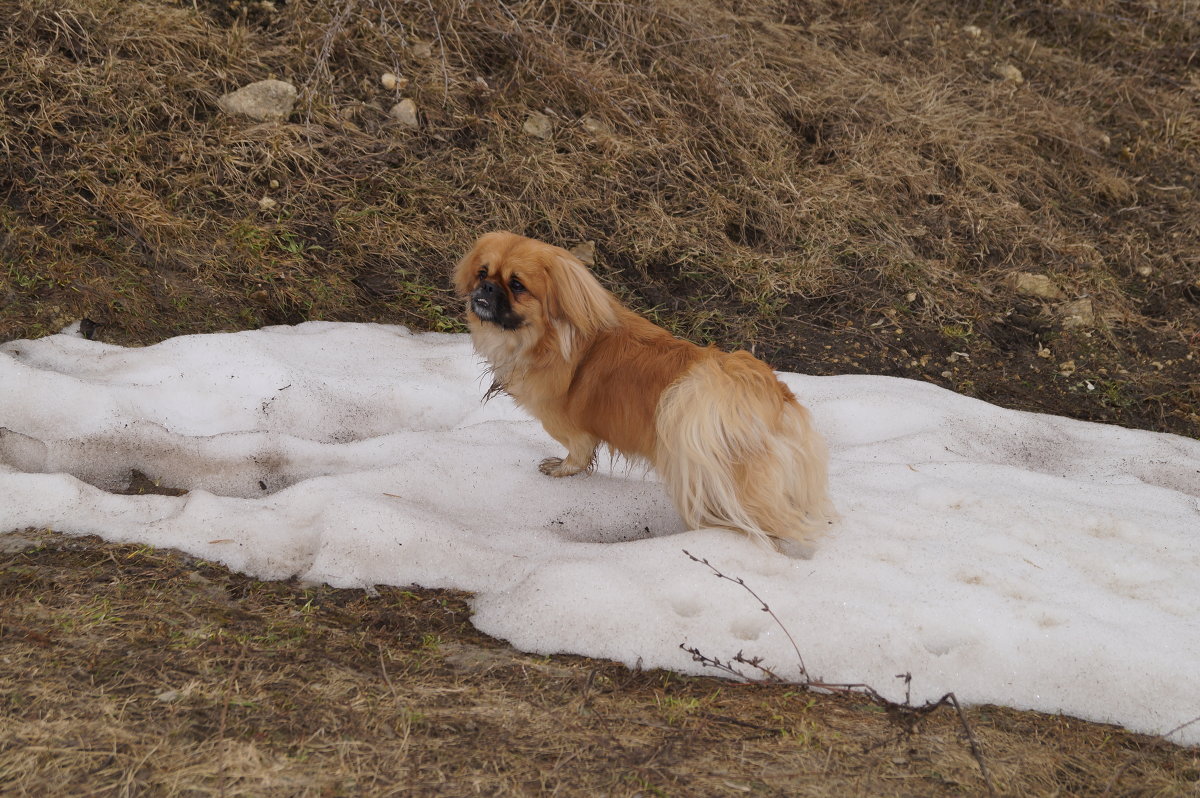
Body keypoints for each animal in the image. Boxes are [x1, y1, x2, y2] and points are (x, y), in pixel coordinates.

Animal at [451, 230, 835, 547]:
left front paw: (560, 469)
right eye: (483, 273)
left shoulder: (569, 426)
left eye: (516, 285)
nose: (486, 288)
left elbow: (577, 453)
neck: (549, 339)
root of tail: (766, 395)